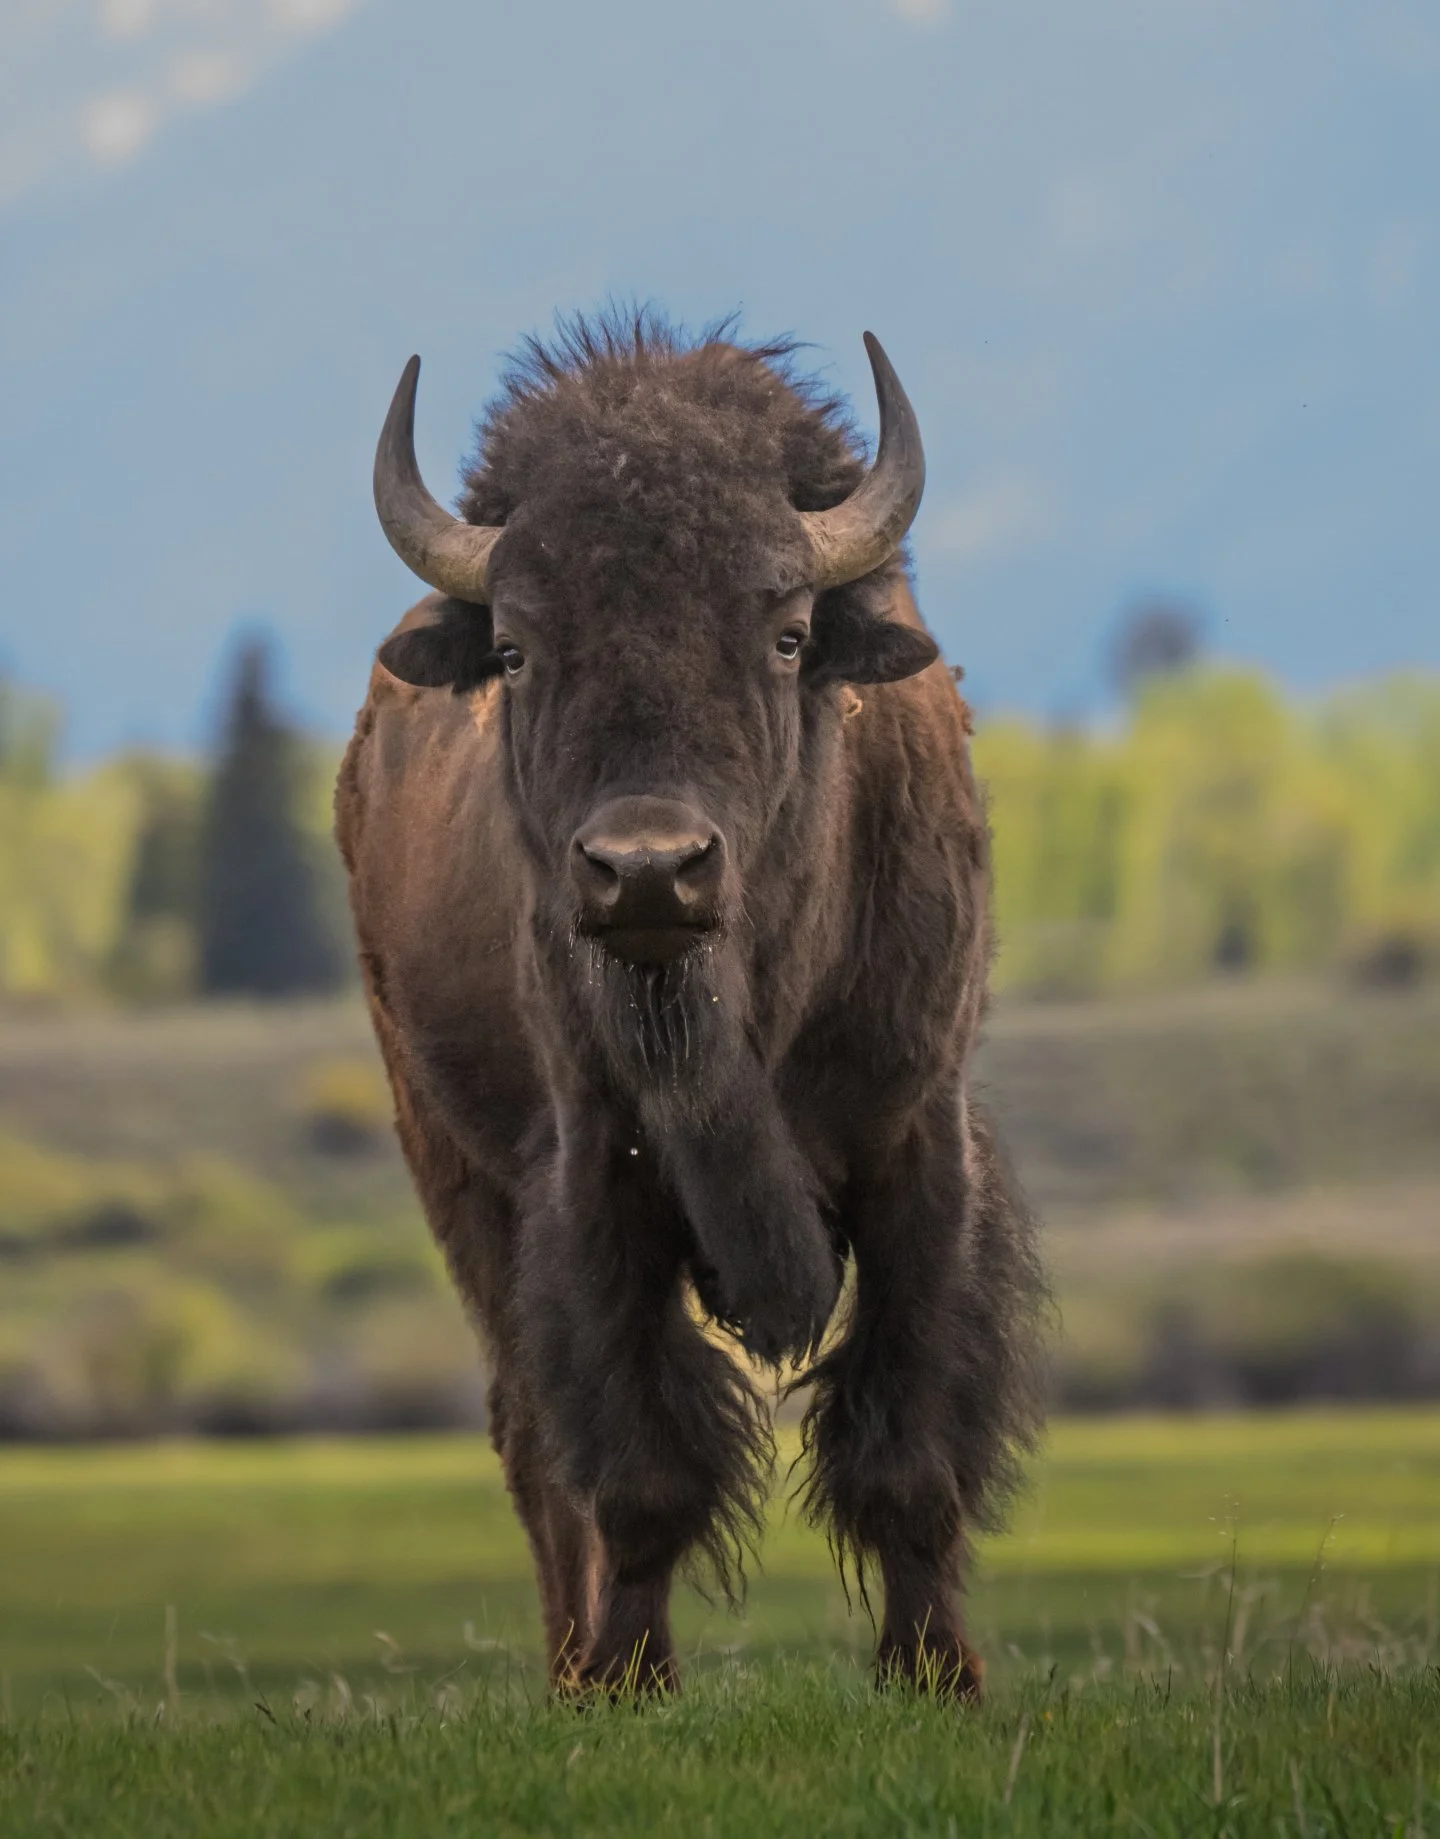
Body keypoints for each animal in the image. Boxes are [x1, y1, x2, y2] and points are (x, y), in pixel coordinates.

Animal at [336, 313, 1046, 1699]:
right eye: (517, 649)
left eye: (784, 635)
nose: (650, 868)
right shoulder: (590, 1174)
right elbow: (639, 1469)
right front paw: (630, 1681)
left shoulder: (917, 1148)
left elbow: (909, 1446)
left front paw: (938, 1673)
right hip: (452, 1165)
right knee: (533, 1442)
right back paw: (570, 1670)